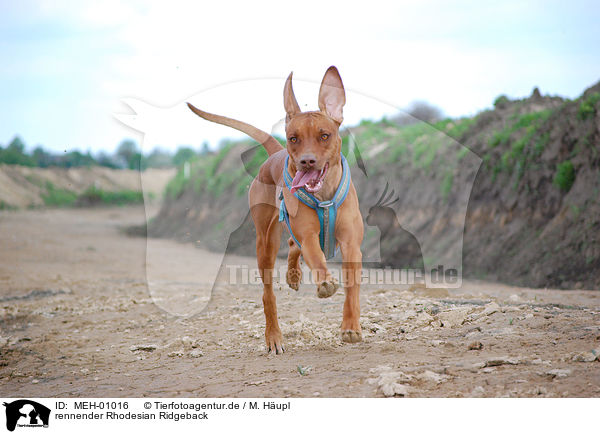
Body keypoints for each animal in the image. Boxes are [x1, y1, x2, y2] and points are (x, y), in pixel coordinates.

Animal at [188, 67, 364, 352]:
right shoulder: (308, 234)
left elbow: (353, 287)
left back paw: (293, 275)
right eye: (294, 138)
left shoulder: (351, 244)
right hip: (265, 242)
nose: (306, 161)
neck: (323, 196)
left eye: (324, 135)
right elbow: (315, 256)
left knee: (292, 245)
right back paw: (274, 337)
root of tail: (275, 153)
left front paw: (351, 327)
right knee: (268, 292)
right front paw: (325, 282)